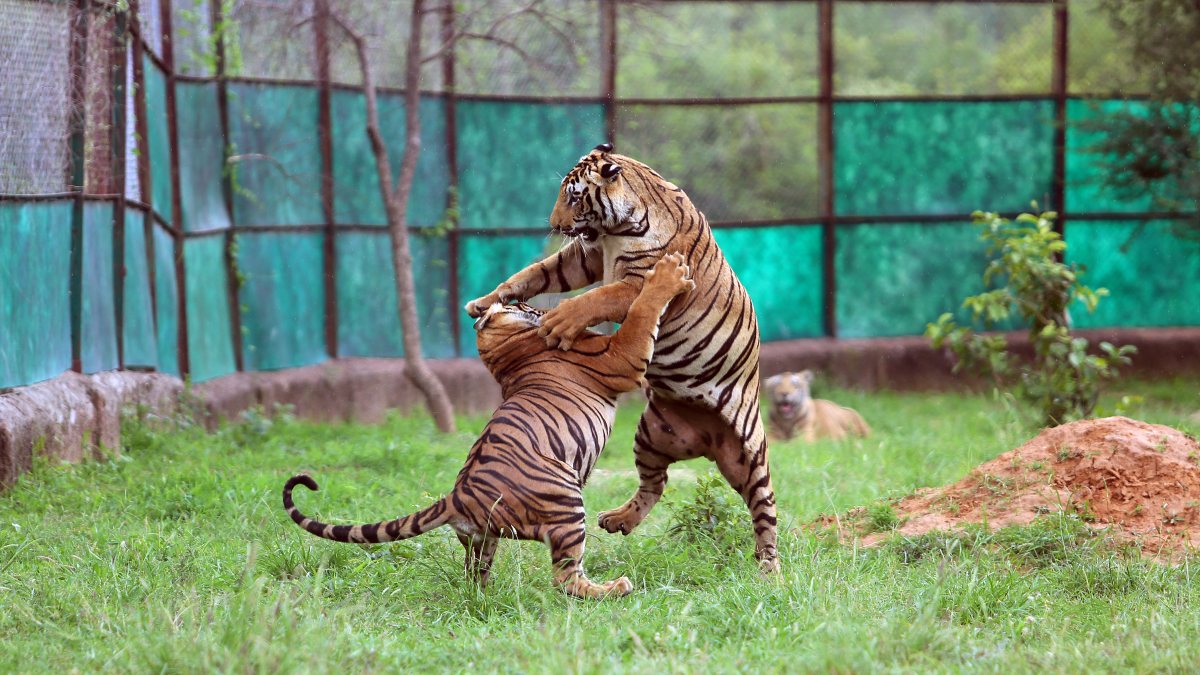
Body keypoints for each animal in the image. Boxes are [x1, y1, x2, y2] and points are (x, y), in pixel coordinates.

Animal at [283, 254, 695, 599]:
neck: (502, 350)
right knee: (565, 579)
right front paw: (667, 275)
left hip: (483, 541)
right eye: (521, 305)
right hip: (566, 501)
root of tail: (457, 496)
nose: (534, 305)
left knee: (474, 575)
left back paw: (487, 597)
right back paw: (614, 588)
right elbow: (642, 312)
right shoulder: (621, 358)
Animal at [464, 143, 779, 573]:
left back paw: (770, 569)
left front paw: (560, 321)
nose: (555, 225)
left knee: (764, 510)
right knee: (656, 483)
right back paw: (618, 520)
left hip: (750, 453)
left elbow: (598, 297)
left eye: (574, 197)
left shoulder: (635, 280)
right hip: (651, 436)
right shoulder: (586, 256)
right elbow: (537, 271)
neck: (617, 230)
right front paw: (486, 302)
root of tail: (709, 443)